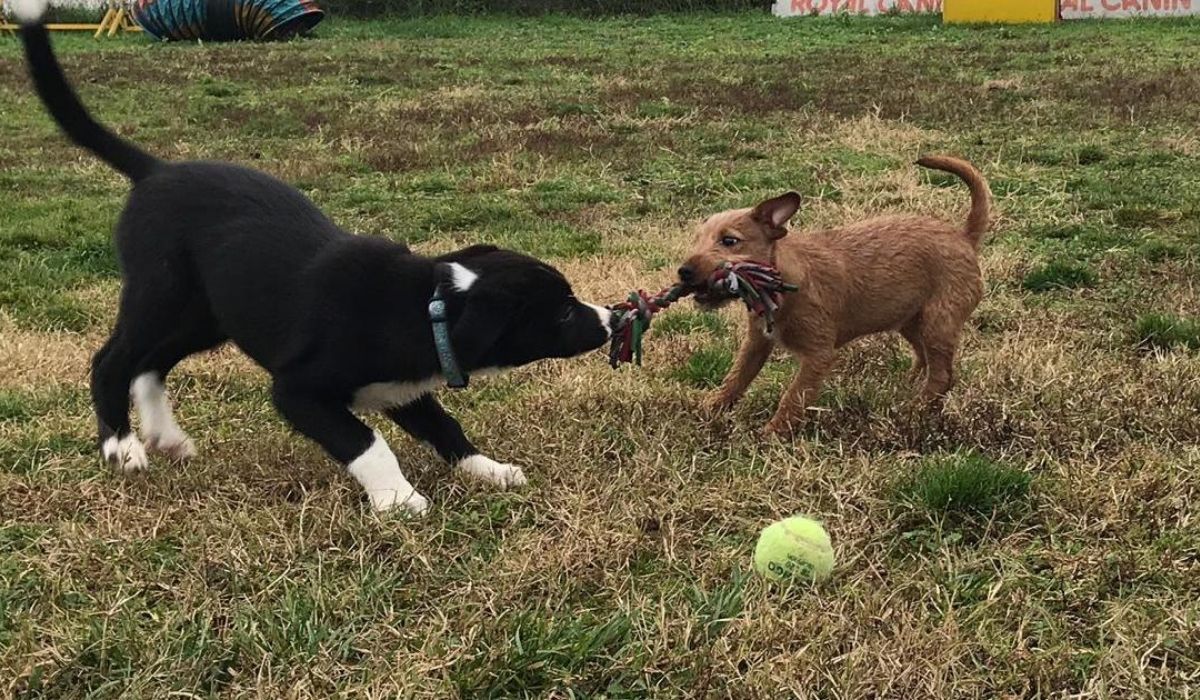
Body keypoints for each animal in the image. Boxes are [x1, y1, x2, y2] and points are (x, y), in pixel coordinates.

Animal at [17, 0, 614, 513]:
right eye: (564, 311)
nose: (610, 318)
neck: (428, 306)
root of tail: (156, 171)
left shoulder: (403, 388)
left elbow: (445, 427)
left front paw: (487, 470)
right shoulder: (298, 390)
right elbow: (366, 442)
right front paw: (400, 501)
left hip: (211, 314)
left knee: (152, 362)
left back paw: (166, 436)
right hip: (159, 293)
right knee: (113, 360)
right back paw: (122, 446)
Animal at [681, 156, 988, 434]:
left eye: (729, 241)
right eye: (697, 240)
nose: (683, 271)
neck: (780, 284)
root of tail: (963, 237)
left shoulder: (818, 354)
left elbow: (794, 396)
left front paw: (773, 432)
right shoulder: (756, 343)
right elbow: (736, 377)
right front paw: (712, 407)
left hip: (939, 322)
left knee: (942, 375)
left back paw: (915, 409)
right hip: (910, 319)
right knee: (924, 357)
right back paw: (906, 386)